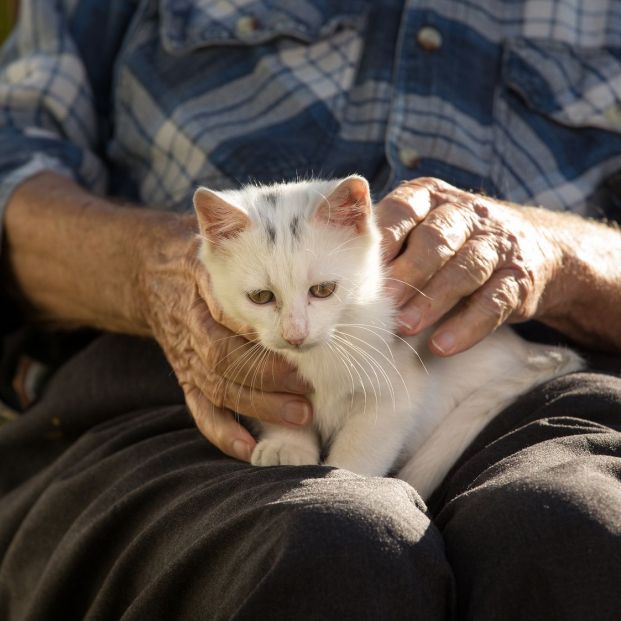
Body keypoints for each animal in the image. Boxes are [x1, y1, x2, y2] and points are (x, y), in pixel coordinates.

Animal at [194, 174, 580, 498]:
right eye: (261, 297)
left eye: (323, 290)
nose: (295, 335)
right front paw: (287, 445)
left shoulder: (395, 396)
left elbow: (360, 451)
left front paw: (342, 478)